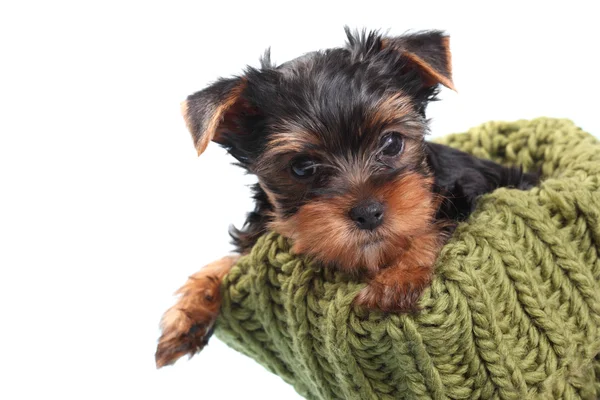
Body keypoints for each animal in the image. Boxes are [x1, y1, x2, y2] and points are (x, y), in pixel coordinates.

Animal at [156, 27, 540, 366]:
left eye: (391, 143)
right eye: (302, 167)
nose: (368, 212)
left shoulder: (464, 194)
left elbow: (433, 226)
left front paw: (398, 278)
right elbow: (232, 259)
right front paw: (187, 312)